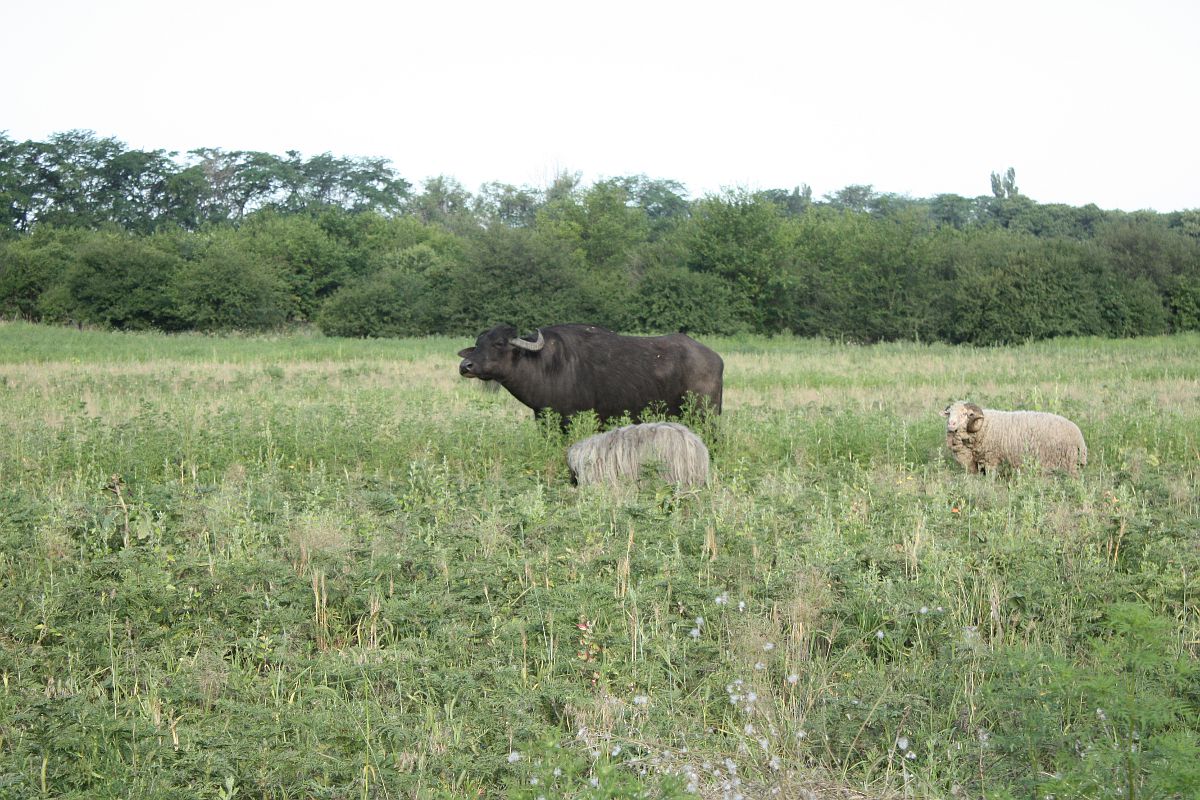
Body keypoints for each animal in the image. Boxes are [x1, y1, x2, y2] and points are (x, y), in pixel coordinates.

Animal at [456, 323, 720, 429]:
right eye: (478, 343)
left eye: (499, 343)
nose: (465, 366)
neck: (544, 365)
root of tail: (715, 358)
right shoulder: (543, 419)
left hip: (705, 415)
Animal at [940, 400, 1094, 474]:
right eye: (949, 413)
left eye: (965, 414)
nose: (951, 424)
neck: (983, 426)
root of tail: (1080, 438)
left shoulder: (991, 459)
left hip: (1067, 464)